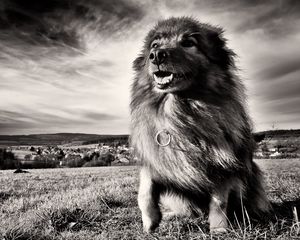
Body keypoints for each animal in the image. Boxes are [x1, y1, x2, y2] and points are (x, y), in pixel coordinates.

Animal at [130, 17, 270, 234]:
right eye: (154, 45)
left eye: (189, 43)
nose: (156, 55)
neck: (181, 110)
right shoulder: (154, 158)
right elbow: (144, 192)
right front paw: (150, 222)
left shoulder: (224, 165)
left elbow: (219, 201)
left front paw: (219, 229)